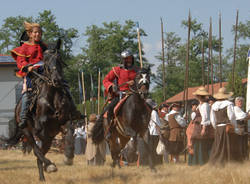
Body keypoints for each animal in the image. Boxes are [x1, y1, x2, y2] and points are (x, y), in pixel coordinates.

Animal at [0, 40, 80, 181]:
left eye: (59, 58)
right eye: (46, 60)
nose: (57, 79)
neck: (52, 98)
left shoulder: (64, 122)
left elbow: (70, 133)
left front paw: (68, 157)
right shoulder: (42, 130)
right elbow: (38, 150)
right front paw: (52, 164)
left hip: (47, 137)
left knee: (39, 154)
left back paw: (44, 173)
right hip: (27, 132)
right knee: (36, 151)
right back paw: (49, 166)